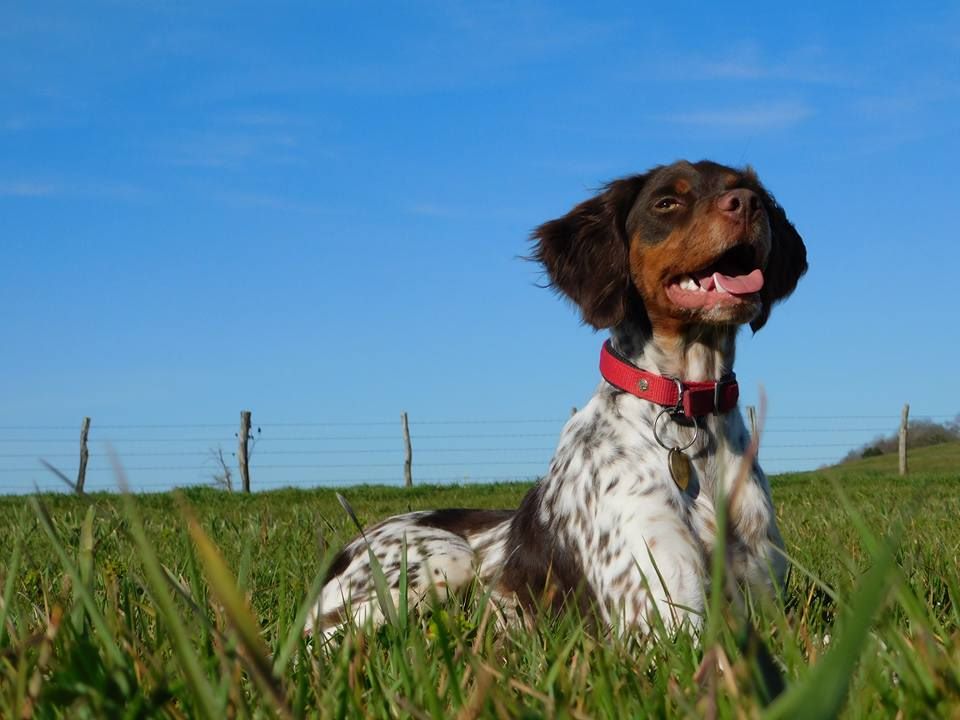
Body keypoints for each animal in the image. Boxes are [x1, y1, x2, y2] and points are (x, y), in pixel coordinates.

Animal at [304, 162, 808, 636]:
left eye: (746, 189)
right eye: (667, 203)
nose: (746, 205)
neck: (687, 413)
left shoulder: (768, 611)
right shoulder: (663, 623)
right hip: (442, 561)